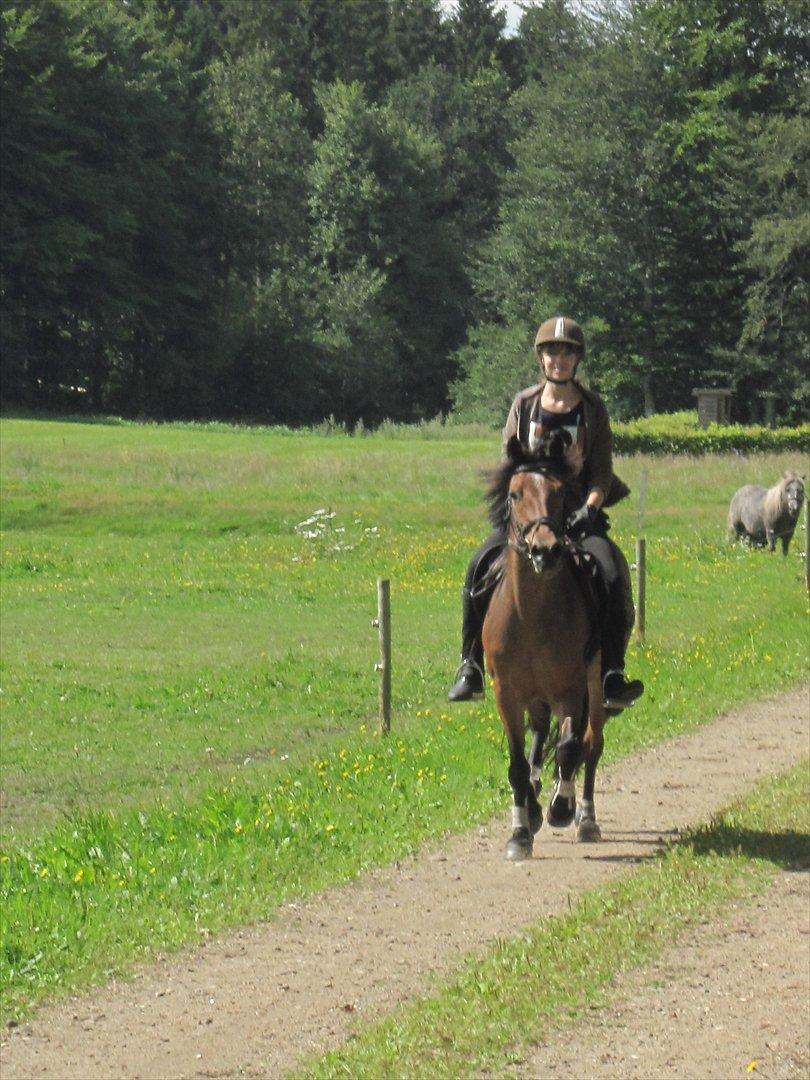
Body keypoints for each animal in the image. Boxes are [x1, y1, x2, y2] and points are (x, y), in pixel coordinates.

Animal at [481, 429, 609, 859]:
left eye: (561, 492)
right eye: (514, 494)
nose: (546, 550)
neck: (531, 616)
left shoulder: (571, 689)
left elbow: (569, 749)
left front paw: (561, 807)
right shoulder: (507, 693)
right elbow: (519, 764)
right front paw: (521, 831)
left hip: (594, 689)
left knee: (591, 744)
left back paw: (585, 819)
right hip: (535, 696)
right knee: (539, 738)